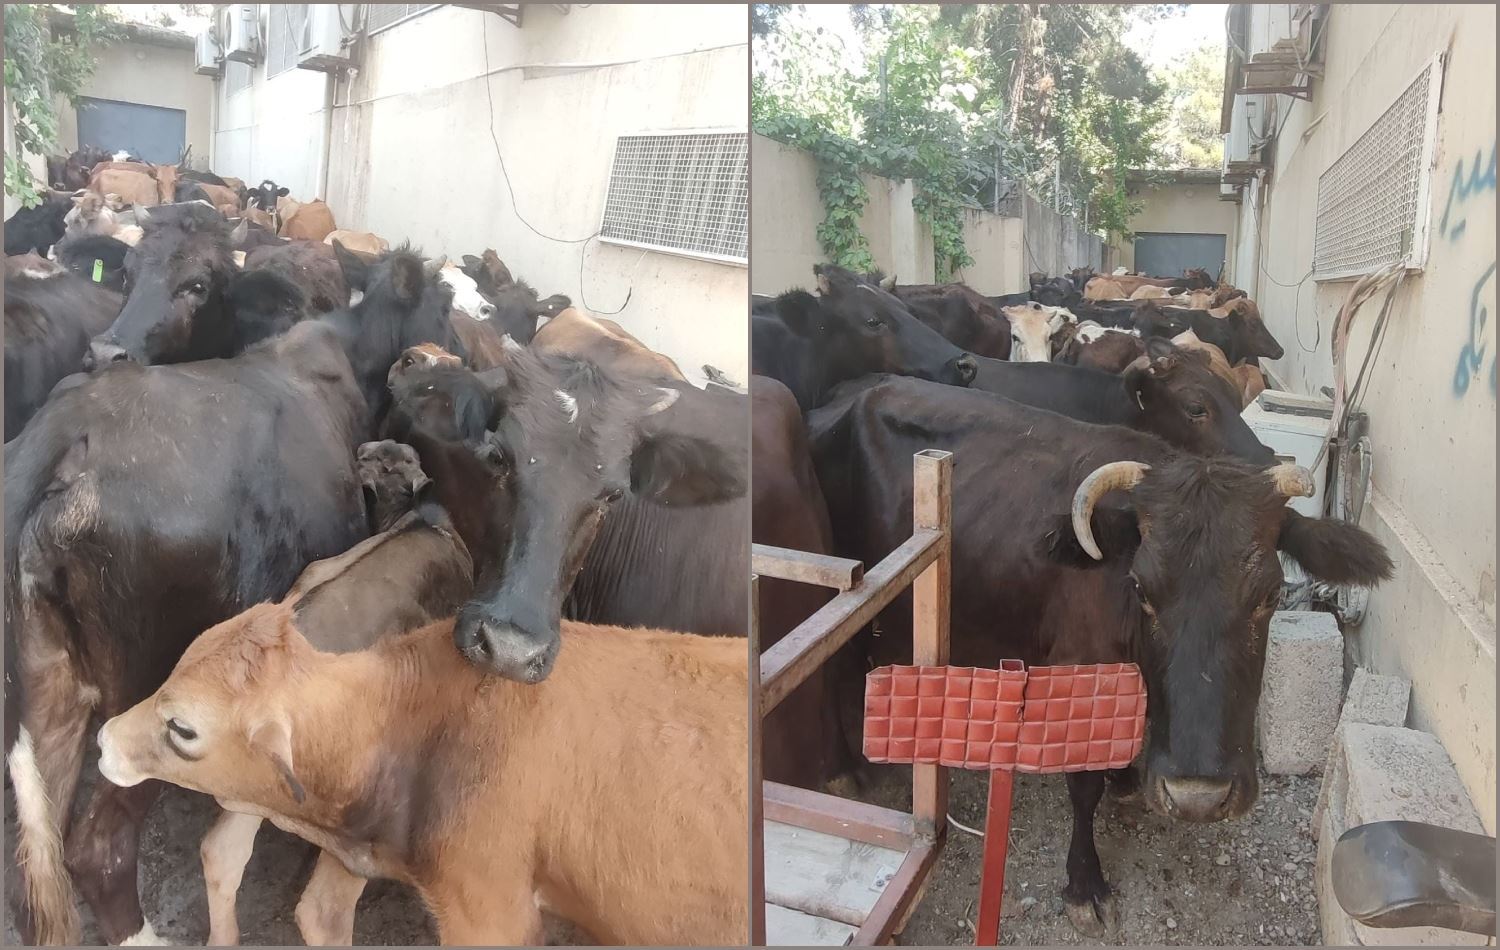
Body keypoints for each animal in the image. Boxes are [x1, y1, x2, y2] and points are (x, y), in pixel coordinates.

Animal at [805, 374, 1392, 935]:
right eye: (1140, 587)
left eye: (1269, 594)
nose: (1198, 797)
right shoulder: (1075, 673)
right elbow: (1082, 786)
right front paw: (1085, 884)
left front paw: (1125, 779)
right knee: (834, 660)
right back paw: (843, 770)